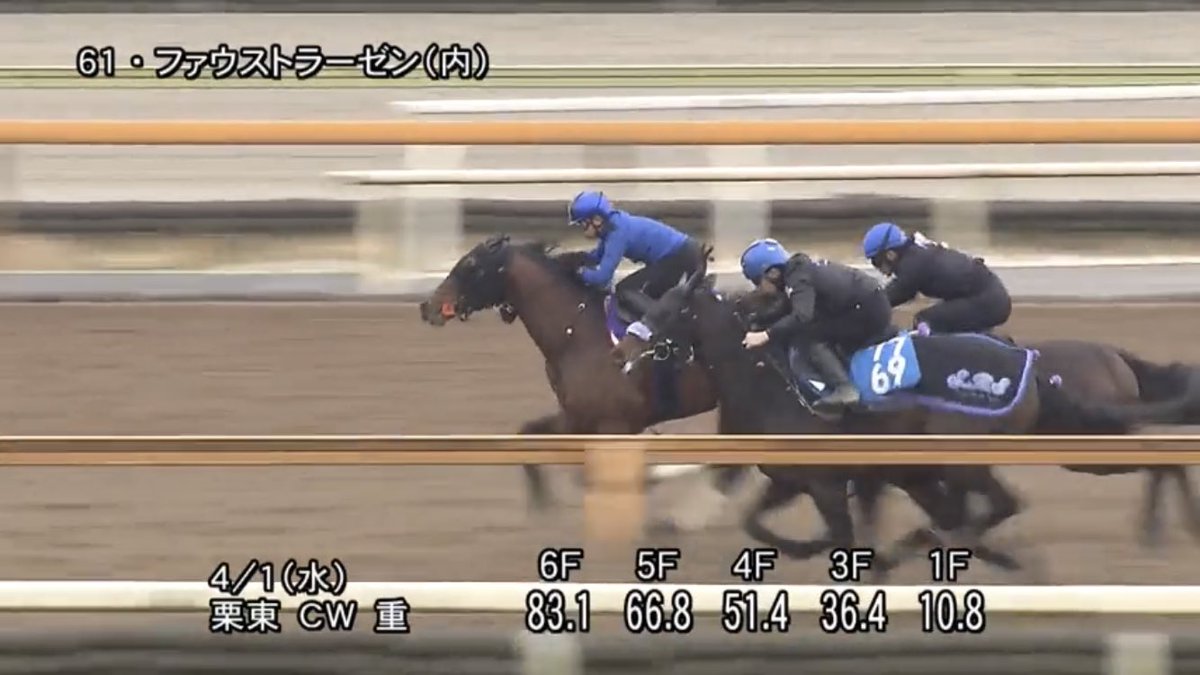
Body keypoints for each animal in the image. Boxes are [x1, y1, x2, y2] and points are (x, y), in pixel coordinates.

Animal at [417, 234, 720, 512]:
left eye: (471, 264)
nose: (427, 307)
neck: (576, 335)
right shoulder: (577, 418)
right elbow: (529, 434)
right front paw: (542, 502)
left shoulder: (616, 424)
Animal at [614, 262, 1200, 575]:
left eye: (670, 309)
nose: (628, 350)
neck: (769, 381)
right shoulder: (793, 478)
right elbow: (756, 522)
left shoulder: (830, 482)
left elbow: (843, 533)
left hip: (1043, 450)